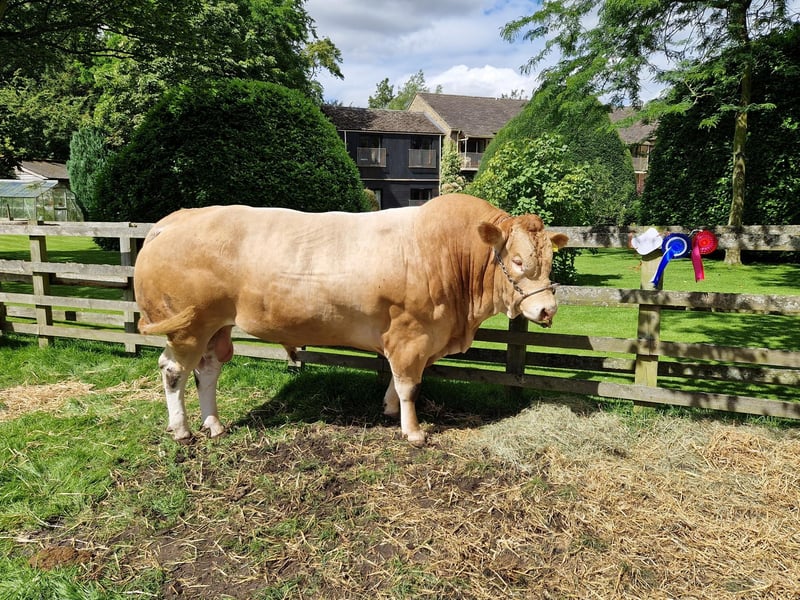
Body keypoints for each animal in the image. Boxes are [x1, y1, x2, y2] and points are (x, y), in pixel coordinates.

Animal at [133, 193, 568, 446]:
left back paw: (214, 424)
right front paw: (413, 432)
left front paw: (390, 409)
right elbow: (410, 384)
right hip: (187, 326)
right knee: (173, 371)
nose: (547, 309)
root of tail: (173, 220)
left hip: (217, 327)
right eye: (517, 260)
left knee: (207, 371)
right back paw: (182, 430)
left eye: (550, 260)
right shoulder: (411, 334)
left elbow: (397, 380)